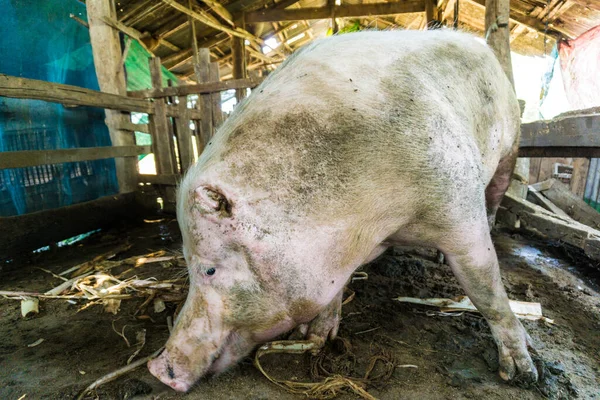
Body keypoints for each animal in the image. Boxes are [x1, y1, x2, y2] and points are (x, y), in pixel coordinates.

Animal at [149, 30, 540, 390]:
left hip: (510, 147)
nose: (157, 369)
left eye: (209, 269)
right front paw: (316, 337)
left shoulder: (456, 207)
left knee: (496, 194)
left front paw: (521, 373)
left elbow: (485, 286)